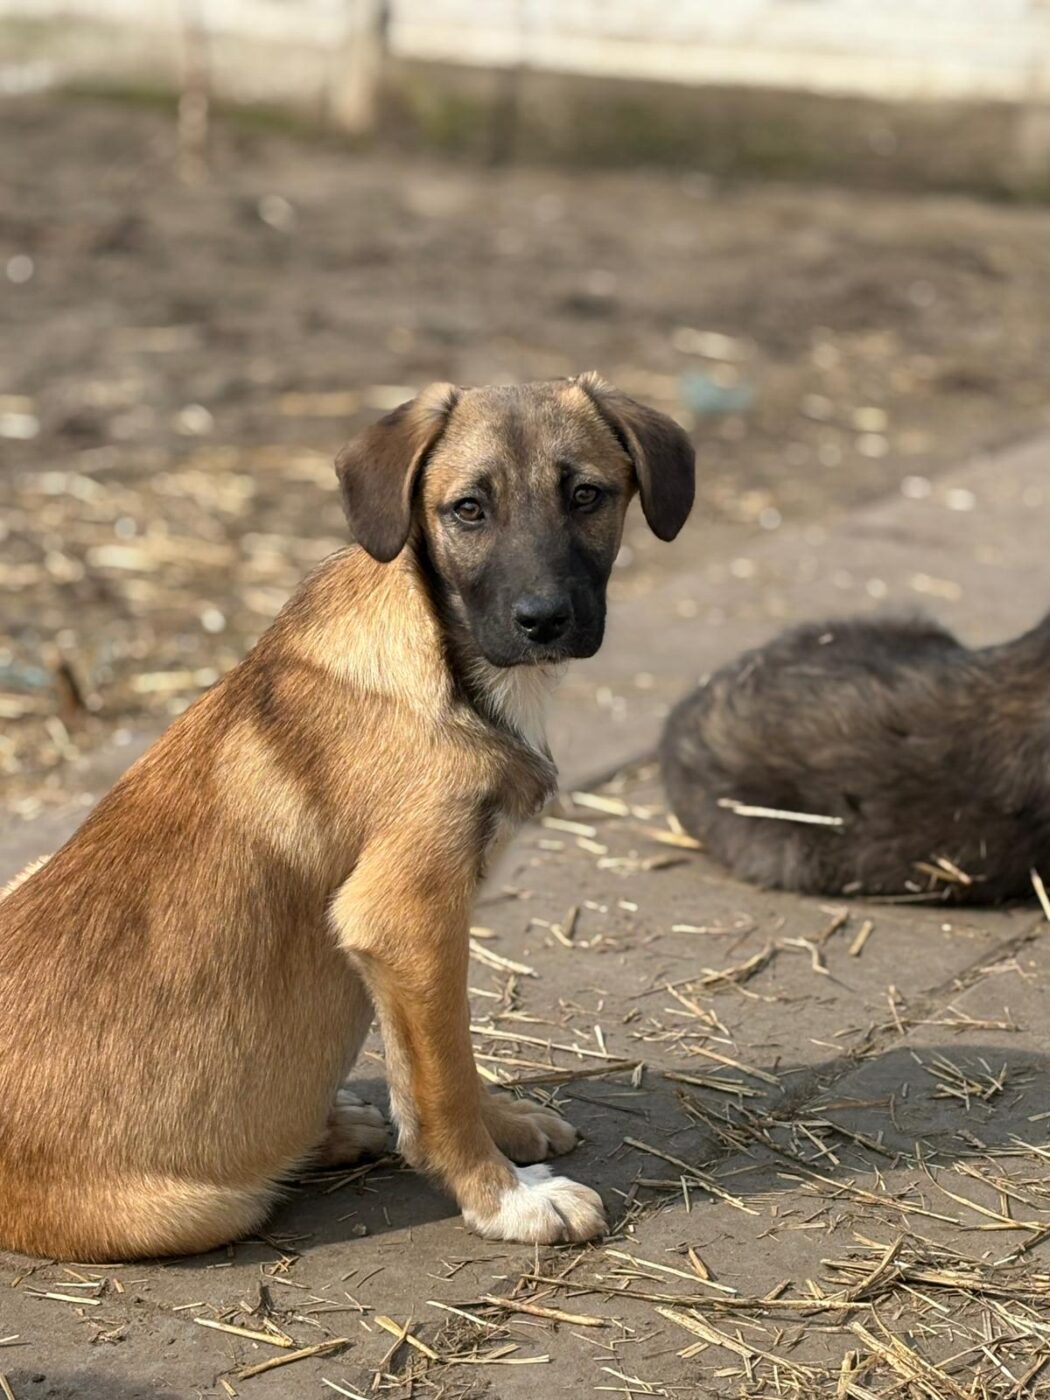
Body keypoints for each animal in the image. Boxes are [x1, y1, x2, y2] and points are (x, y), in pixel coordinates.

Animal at [0, 373, 694, 1261]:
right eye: (468, 509)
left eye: (587, 495)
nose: (543, 621)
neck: (446, 659)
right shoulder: (405, 917)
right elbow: (443, 1079)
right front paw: (504, 1198)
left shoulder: (414, 944)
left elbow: (437, 1060)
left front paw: (504, 1129)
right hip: (208, 1208)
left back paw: (334, 1126)